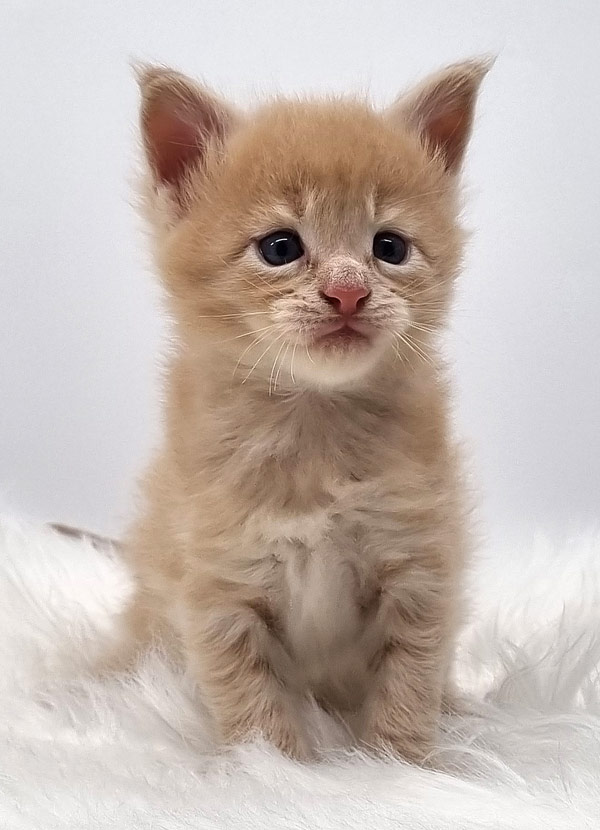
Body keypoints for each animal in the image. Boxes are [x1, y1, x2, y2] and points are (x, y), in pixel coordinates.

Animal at [113, 58, 492, 764]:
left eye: (390, 247)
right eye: (280, 247)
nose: (348, 292)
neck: (313, 421)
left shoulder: (420, 565)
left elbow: (411, 676)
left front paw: (399, 765)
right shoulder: (217, 585)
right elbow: (249, 698)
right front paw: (274, 769)